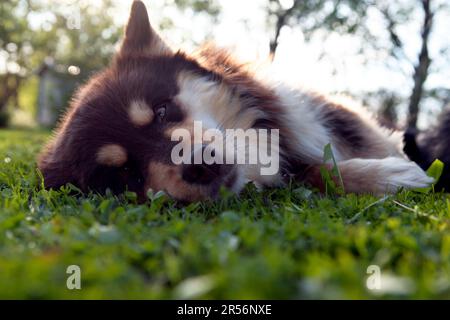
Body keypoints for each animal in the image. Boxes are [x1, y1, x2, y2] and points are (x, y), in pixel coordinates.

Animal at [37, 0, 432, 202]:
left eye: (162, 110)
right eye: (124, 174)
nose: (199, 165)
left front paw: (395, 166)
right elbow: (316, 173)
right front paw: (388, 175)